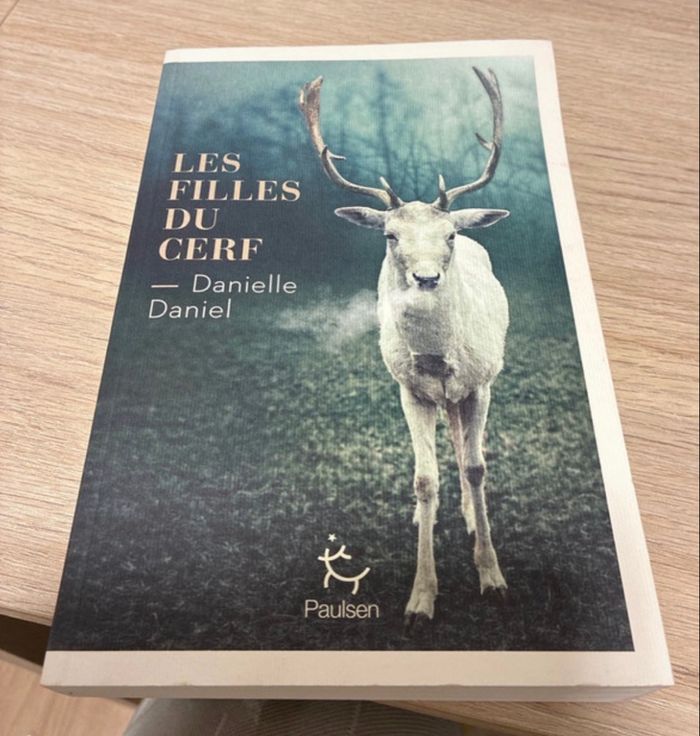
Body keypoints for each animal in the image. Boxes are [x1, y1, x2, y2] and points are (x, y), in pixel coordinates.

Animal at [299, 67, 510, 630]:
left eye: (451, 234)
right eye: (390, 235)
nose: (427, 278)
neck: (439, 358)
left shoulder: (480, 384)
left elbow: (477, 466)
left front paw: (492, 576)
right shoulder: (411, 391)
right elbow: (423, 479)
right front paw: (421, 598)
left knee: (462, 446)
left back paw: (469, 515)